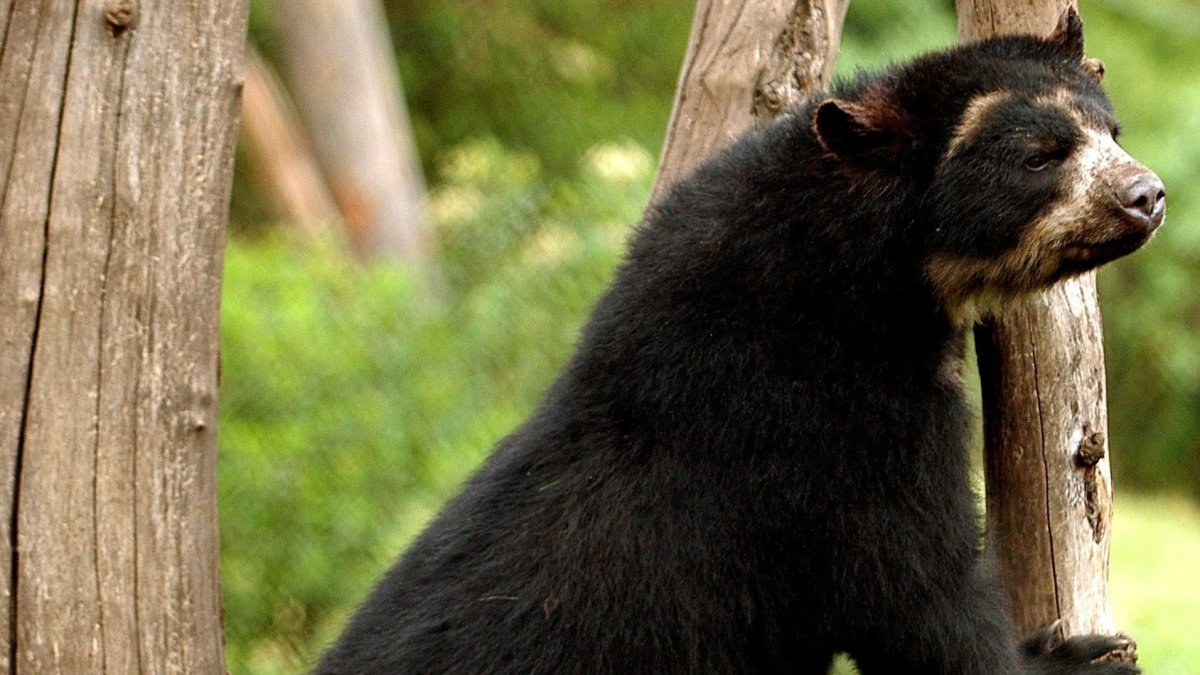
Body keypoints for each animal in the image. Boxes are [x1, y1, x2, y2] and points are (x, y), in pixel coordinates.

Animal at [319, 9, 1162, 675]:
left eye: (1112, 130)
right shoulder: (826, 423)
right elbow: (914, 590)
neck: (866, 272)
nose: (1147, 195)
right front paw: (1086, 655)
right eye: (1039, 155)